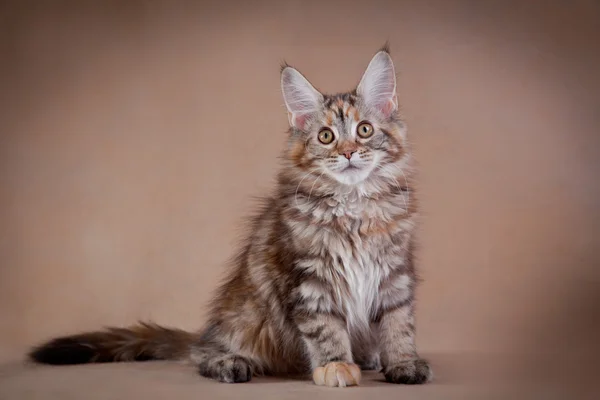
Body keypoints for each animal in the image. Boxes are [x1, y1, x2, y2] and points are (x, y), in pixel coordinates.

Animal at [28, 44, 434, 388]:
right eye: (326, 136)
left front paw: (402, 362)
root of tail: (212, 328)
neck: (353, 207)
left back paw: (370, 358)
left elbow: (399, 324)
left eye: (364, 130)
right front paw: (335, 365)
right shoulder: (309, 279)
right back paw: (231, 363)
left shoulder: (394, 272)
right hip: (247, 315)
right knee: (201, 354)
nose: (348, 152)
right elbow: (325, 329)